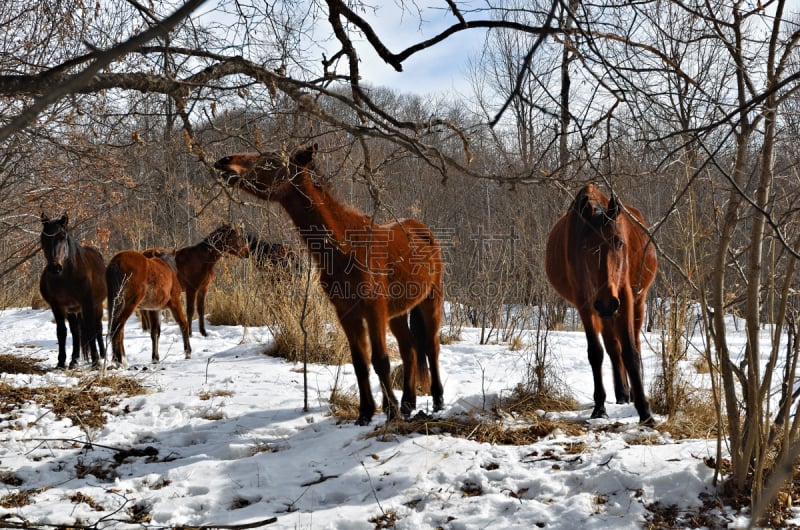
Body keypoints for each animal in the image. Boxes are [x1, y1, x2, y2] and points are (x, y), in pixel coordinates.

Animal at [39, 211, 107, 368]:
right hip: (72, 310)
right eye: (43, 237)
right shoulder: (58, 306)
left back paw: (102, 354)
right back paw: (74, 359)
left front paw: (95, 361)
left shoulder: (87, 303)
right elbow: (61, 332)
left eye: (62, 236)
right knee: (76, 331)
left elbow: (90, 330)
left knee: (98, 327)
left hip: (97, 306)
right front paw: (61, 361)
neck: (67, 276)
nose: (55, 267)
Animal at [212, 142, 446, 422]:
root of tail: (423, 231)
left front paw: (389, 412)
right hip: (398, 313)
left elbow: (381, 360)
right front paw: (366, 413)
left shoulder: (374, 309)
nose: (225, 162)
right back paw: (408, 403)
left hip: (431, 301)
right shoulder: (346, 313)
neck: (346, 246)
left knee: (431, 347)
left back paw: (437, 400)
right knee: (409, 349)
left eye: (272, 161)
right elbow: (360, 362)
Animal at [544, 184, 664, 422]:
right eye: (584, 246)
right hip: (603, 312)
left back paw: (631, 392)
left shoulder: (624, 297)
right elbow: (596, 353)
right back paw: (622, 393)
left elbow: (630, 352)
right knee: (612, 348)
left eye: (619, 242)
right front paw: (599, 406)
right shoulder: (585, 303)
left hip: (635, 303)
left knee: (633, 344)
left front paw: (645, 411)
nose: (608, 302)